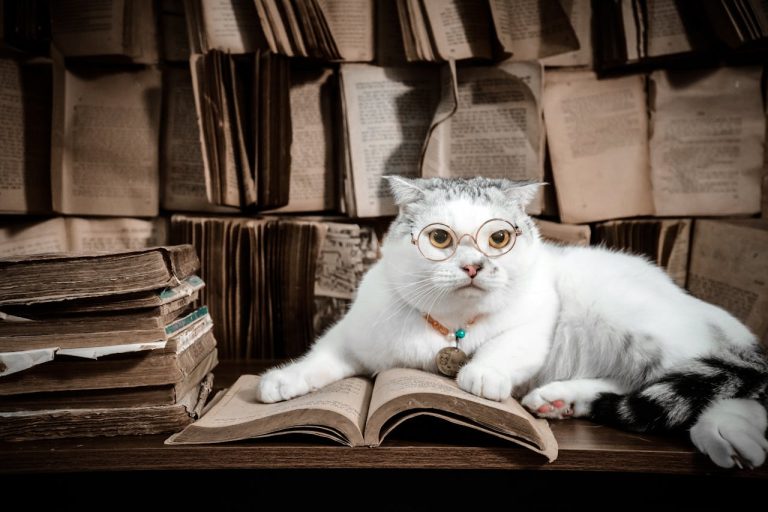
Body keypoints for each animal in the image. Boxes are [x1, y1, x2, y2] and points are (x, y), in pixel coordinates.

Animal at [260, 176, 768, 468]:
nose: (473, 266)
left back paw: (726, 436)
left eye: (499, 239)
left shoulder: (536, 320)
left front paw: (480, 374)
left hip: (635, 323)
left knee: (726, 384)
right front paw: (284, 381)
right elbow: (321, 357)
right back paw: (560, 401)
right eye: (440, 239)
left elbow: (503, 347)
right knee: (635, 385)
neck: (449, 326)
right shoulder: (354, 334)